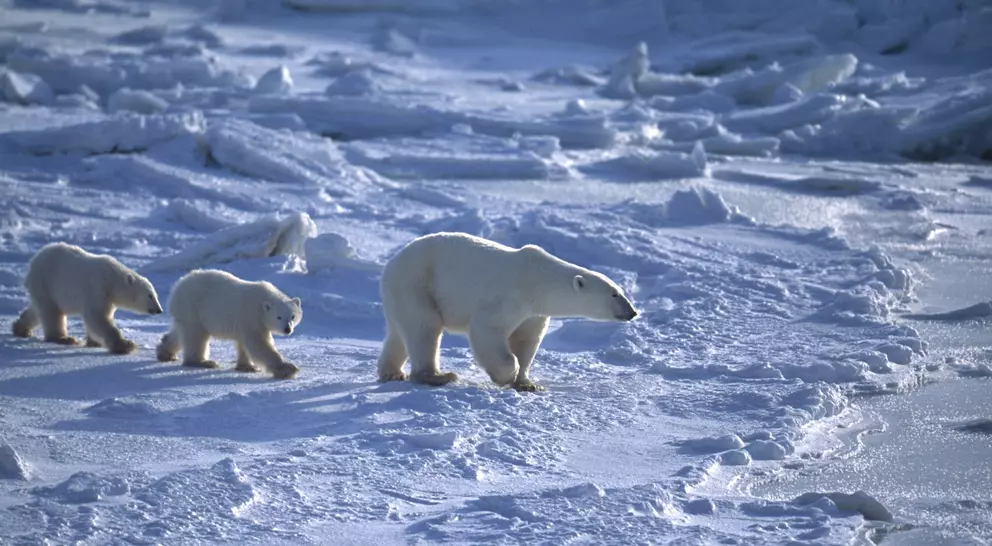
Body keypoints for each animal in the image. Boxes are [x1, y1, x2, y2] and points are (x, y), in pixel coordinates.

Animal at [11, 242, 164, 354]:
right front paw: (126, 345)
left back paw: (21, 328)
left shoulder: (108, 299)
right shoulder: (97, 289)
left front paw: (94, 342)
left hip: (44, 288)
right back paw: (64, 338)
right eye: (150, 295)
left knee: (38, 310)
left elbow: (99, 318)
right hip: (46, 281)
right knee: (51, 312)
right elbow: (97, 317)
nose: (159, 310)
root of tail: (34, 260)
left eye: (156, 295)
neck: (111, 279)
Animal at [155, 269, 302, 380]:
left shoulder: (246, 322)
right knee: (196, 336)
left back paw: (165, 353)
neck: (262, 303)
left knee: (179, 332)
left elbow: (244, 343)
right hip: (193, 308)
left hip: (186, 313)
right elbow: (259, 343)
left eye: (293, 316)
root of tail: (177, 287)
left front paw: (247, 366)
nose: (287, 329)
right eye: (279, 317)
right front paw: (287, 369)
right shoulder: (252, 316)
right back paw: (203, 362)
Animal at [376, 232, 638, 392]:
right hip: (417, 284)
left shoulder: (534, 313)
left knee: (399, 333)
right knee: (425, 328)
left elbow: (526, 340)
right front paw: (505, 376)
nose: (633, 312)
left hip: (402, 294)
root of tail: (391, 264)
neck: (539, 279)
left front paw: (528, 384)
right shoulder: (510, 298)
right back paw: (438, 376)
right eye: (615, 294)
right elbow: (487, 329)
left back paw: (392, 373)